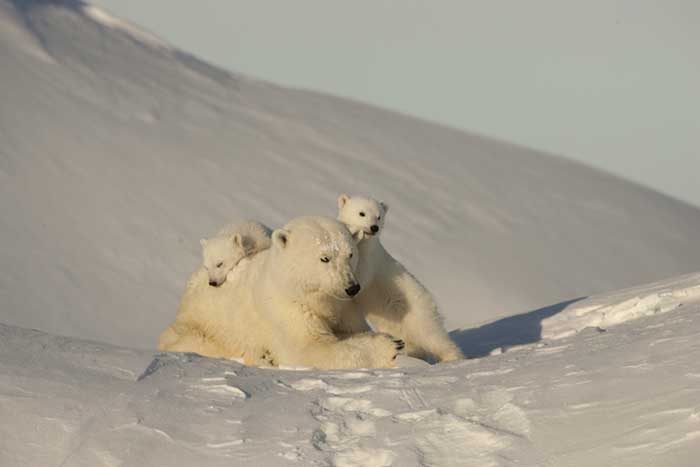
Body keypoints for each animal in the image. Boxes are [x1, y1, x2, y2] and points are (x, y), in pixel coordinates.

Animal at [157, 216, 400, 370]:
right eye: (325, 258)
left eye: (350, 254)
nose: (352, 287)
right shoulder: (284, 309)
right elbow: (309, 349)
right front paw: (391, 346)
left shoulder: (343, 307)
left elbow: (352, 329)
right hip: (199, 326)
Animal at [338, 196, 464, 364]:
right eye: (361, 213)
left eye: (379, 216)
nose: (374, 227)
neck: (363, 245)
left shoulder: (370, 261)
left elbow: (363, 277)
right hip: (395, 323)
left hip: (418, 312)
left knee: (434, 336)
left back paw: (452, 358)